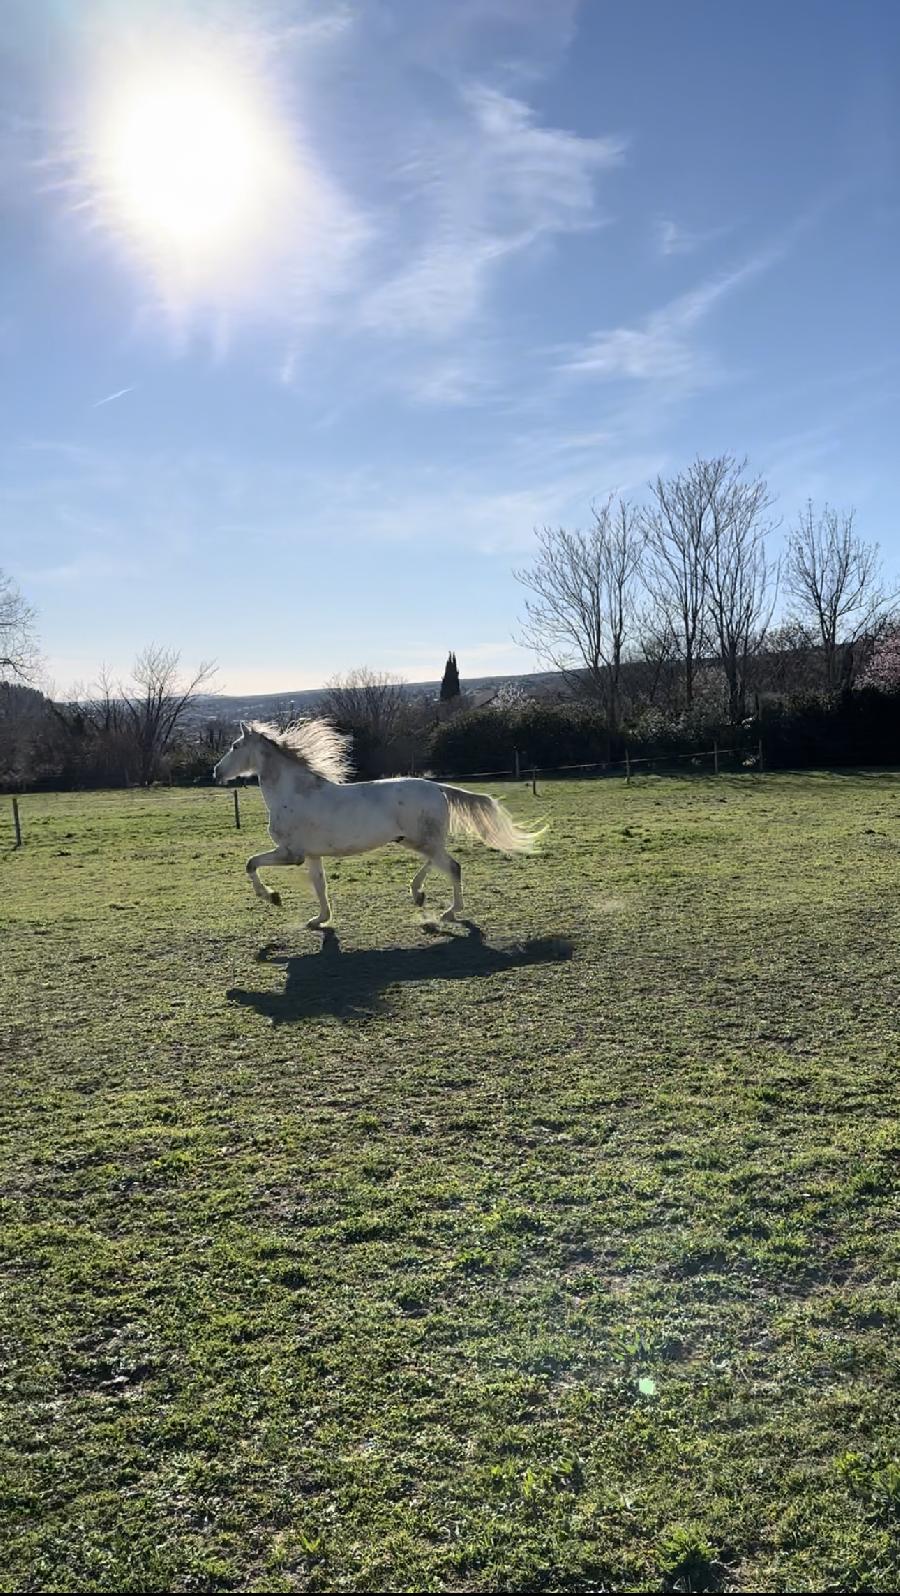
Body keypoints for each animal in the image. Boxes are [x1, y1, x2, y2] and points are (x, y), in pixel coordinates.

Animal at [213, 721, 545, 932]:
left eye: (235, 745)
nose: (216, 771)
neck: (294, 793)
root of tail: (437, 787)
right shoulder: (312, 855)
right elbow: (320, 886)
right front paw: (319, 920)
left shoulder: (290, 853)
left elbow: (250, 863)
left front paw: (272, 897)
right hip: (413, 840)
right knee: (437, 861)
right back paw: (418, 894)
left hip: (421, 840)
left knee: (452, 867)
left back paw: (449, 912)